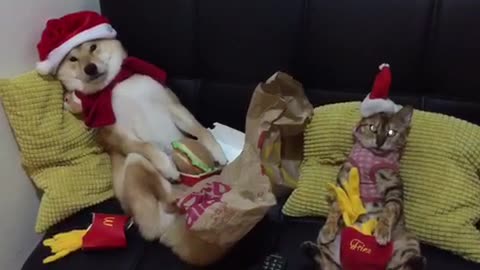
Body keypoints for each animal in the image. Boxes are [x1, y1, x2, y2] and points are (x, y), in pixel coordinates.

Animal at [302, 106, 426, 270]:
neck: (372, 157)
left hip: (408, 240)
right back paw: (309, 248)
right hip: (332, 247)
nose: (379, 142)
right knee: (327, 264)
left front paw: (382, 231)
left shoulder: (394, 188)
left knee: (401, 266)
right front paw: (328, 229)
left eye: (391, 132)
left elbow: (390, 209)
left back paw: (419, 260)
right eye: (372, 128)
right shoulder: (344, 180)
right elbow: (335, 207)